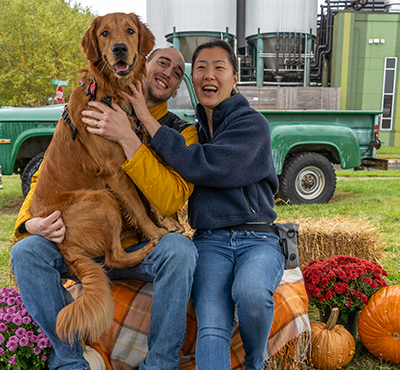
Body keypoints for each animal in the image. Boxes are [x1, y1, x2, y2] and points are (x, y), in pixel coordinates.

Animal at [29, 13, 183, 346]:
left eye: (130, 30)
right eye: (104, 33)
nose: (120, 49)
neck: (112, 91)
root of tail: (65, 247)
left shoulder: (136, 150)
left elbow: (149, 195)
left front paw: (166, 222)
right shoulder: (115, 168)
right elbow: (138, 206)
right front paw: (157, 231)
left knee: (112, 253)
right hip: (101, 199)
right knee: (112, 258)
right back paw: (146, 246)